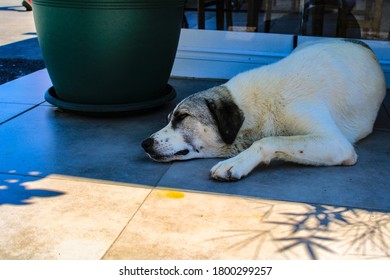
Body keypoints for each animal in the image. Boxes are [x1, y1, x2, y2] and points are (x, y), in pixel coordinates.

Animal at [142, 39, 386, 180]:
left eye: (182, 116)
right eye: (169, 118)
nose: (145, 143)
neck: (254, 107)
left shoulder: (336, 143)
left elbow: (268, 141)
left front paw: (236, 163)